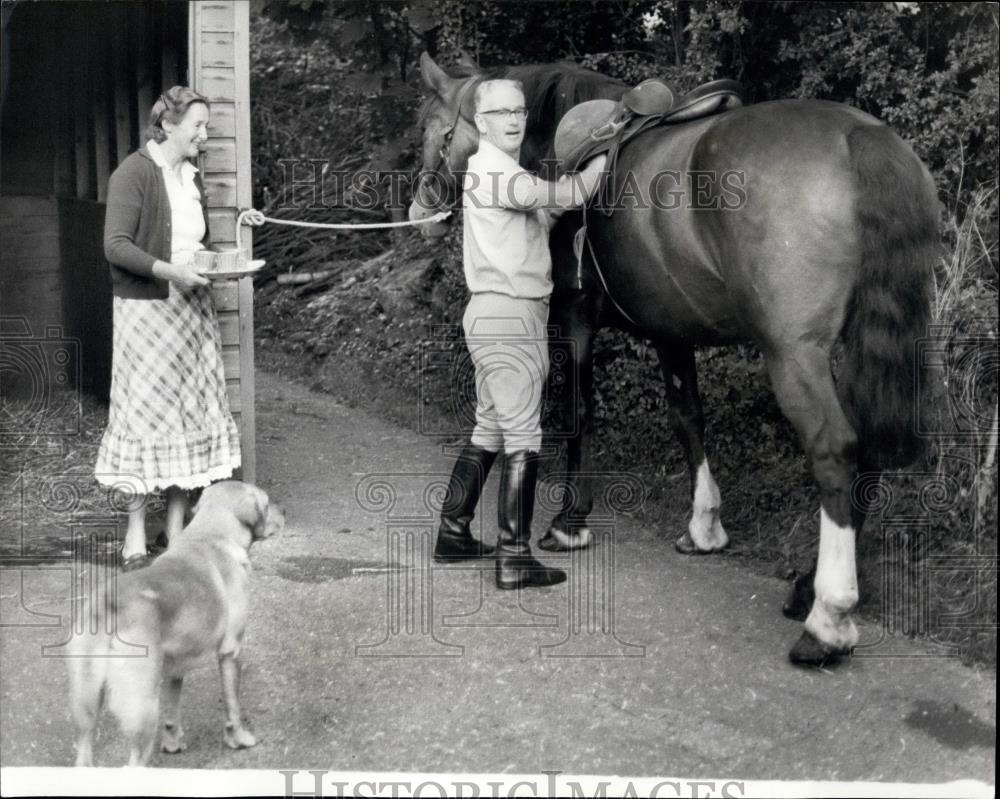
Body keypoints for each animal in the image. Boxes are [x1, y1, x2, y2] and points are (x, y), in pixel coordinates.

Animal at [68, 482, 284, 768]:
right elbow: (232, 705)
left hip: (86, 703)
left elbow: (173, 711)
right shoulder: (231, 651)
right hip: (143, 708)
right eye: (268, 503)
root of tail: (110, 606)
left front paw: (173, 743)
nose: (285, 511)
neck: (209, 535)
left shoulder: (174, 666)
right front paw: (238, 738)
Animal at [406, 48, 936, 664]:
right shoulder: (671, 330)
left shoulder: (573, 317)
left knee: (836, 449)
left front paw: (569, 523)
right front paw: (703, 526)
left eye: (436, 130)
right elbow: (688, 418)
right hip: (860, 348)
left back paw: (827, 619)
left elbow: (578, 413)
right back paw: (807, 587)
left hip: (795, 354)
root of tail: (859, 136)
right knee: (867, 446)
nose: (419, 211)